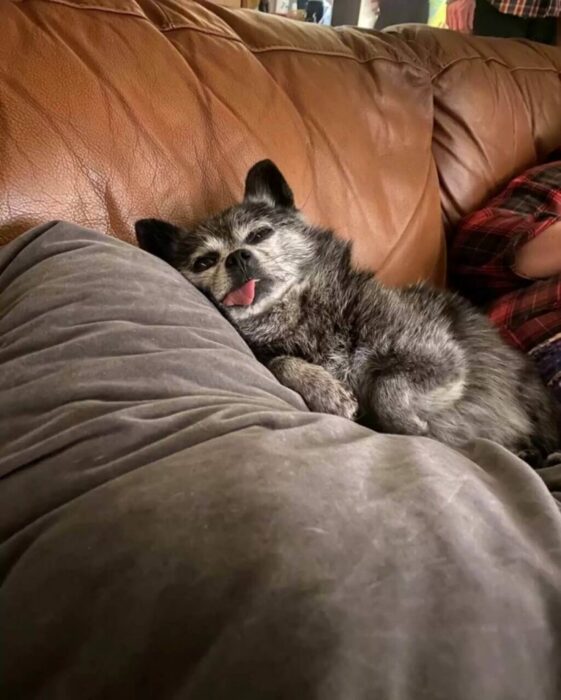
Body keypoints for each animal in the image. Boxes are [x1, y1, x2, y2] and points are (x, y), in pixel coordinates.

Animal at [133, 161, 556, 462]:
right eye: (204, 261)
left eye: (259, 234)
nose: (238, 258)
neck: (298, 313)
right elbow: (281, 362)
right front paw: (325, 391)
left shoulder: (439, 357)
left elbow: (387, 386)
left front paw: (409, 424)